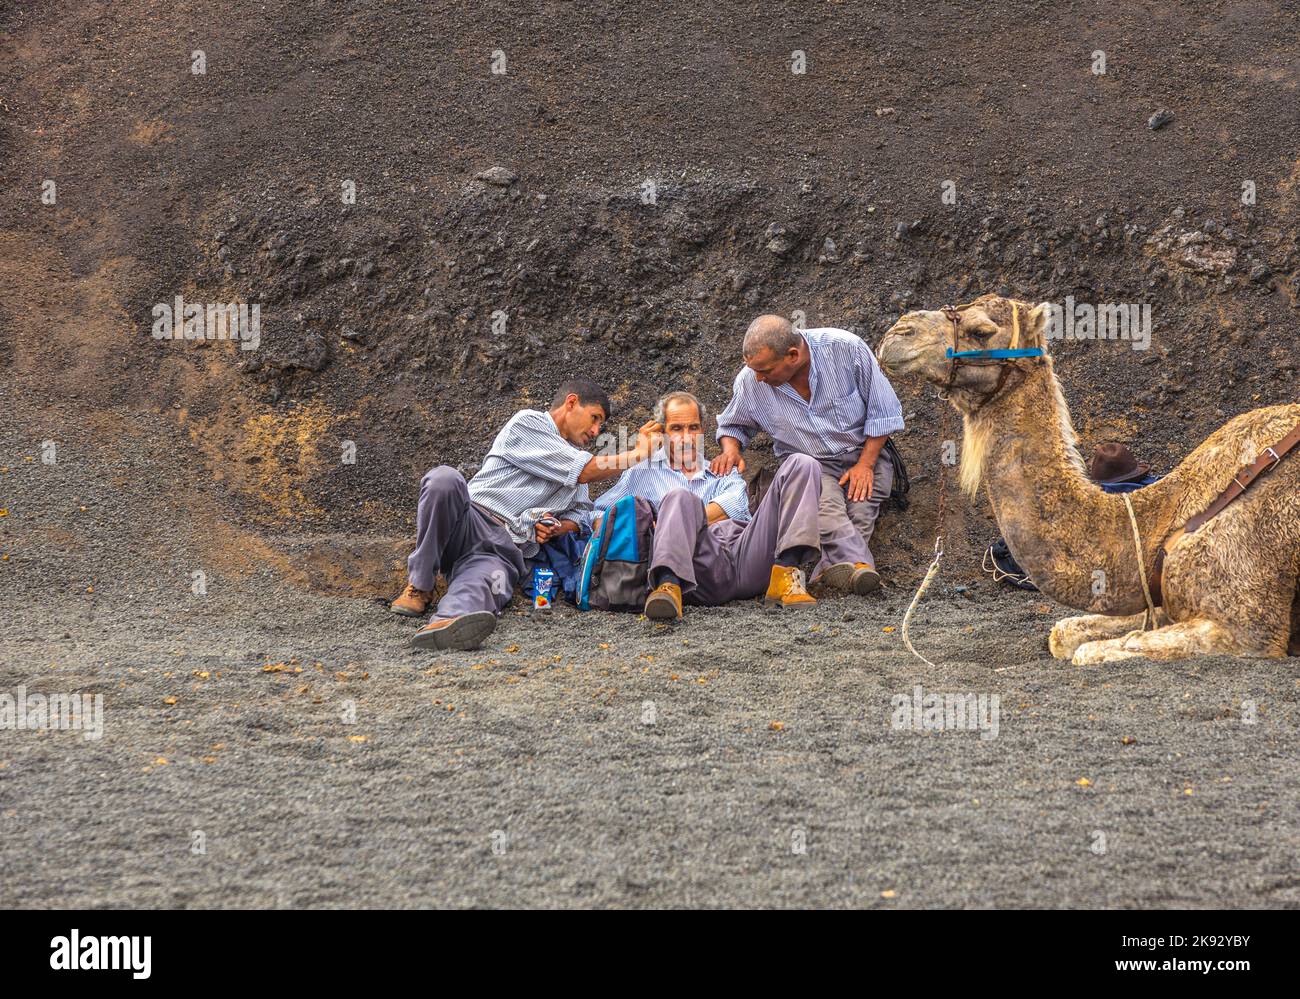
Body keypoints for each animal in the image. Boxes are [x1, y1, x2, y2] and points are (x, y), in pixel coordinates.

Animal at [878, 293, 1294, 663]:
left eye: (982, 330)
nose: (897, 333)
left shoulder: (1249, 627)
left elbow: (1087, 651)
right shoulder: (1158, 600)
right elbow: (1064, 634)